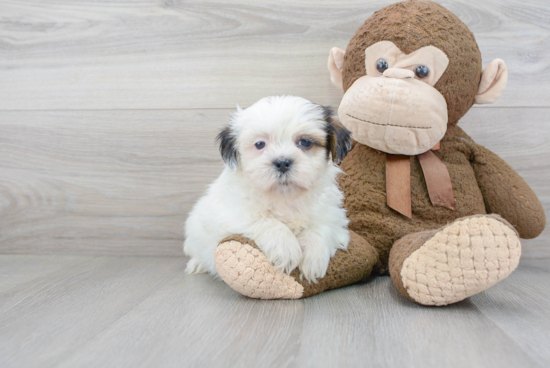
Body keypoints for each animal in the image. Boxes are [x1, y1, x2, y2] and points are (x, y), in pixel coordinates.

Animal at [183, 95, 352, 282]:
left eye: (305, 142)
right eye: (259, 144)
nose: (282, 162)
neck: (285, 198)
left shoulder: (333, 216)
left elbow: (321, 227)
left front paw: (313, 257)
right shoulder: (232, 212)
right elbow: (265, 220)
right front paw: (286, 249)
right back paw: (197, 264)